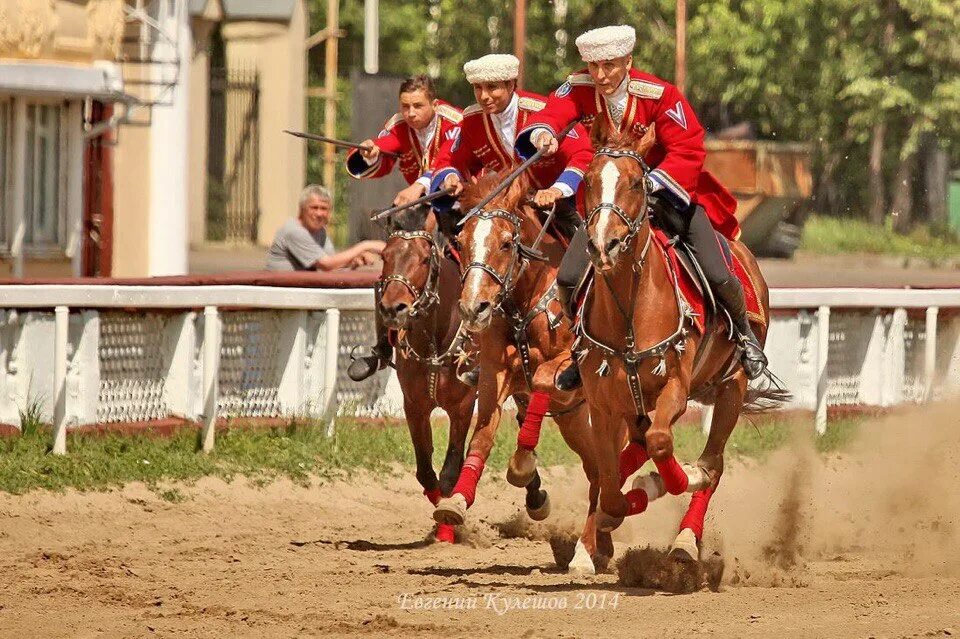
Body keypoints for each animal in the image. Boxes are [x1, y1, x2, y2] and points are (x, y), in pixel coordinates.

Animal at [376, 206, 478, 544]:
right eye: (384, 255)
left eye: (423, 259)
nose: (392, 308)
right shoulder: (415, 405)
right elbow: (425, 472)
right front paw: (443, 524)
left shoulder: (463, 406)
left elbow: (449, 473)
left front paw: (448, 526)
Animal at [432, 171, 640, 576]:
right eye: (461, 243)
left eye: (506, 243)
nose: (473, 307)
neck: (528, 298)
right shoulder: (494, 375)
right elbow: (481, 437)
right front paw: (457, 501)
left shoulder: (562, 369)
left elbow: (542, 380)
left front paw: (523, 465)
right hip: (573, 419)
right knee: (596, 470)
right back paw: (598, 544)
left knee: (606, 467)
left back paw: (587, 550)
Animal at [580, 121, 784, 560]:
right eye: (588, 180)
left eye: (636, 182)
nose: (604, 245)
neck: (629, 311)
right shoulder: (604, 406)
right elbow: (608, 484)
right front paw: (600, 529)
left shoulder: (675, 385)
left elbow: (661, 447)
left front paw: (667, 480)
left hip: (731, 386)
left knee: (714, 462)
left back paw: (687, 537)